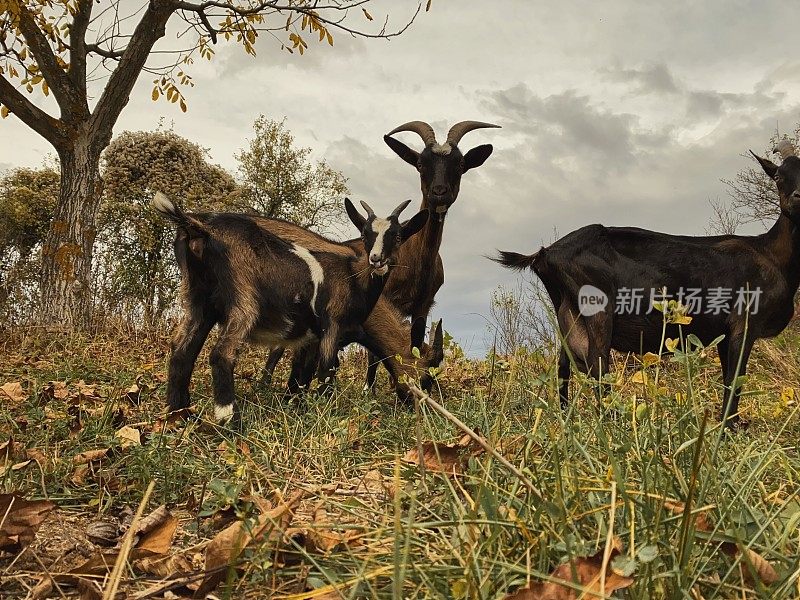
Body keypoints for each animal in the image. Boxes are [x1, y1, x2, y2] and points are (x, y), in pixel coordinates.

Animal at [155, 190, 432, 424]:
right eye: (365, 235)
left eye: (398, 236)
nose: (377, 260)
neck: (354, 279)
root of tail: (199, 227)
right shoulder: (332, 327)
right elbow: (326, 372)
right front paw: (325, 417)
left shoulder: (310, 337)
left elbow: (302, 375)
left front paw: (295, 406)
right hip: (243, 302)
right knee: (222, 354)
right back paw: (231, 423)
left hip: (198, 300)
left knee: (182, 350)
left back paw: (179, 417)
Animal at [494, 142, 800, 426]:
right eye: (778, 176)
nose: (797, 198)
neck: (771, 254)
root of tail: (546, 253)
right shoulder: (743, 324)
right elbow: (734, 380)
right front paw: (726, 429)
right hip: (597, 308)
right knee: (597, 365)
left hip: (567, 313)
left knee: (564, 367)